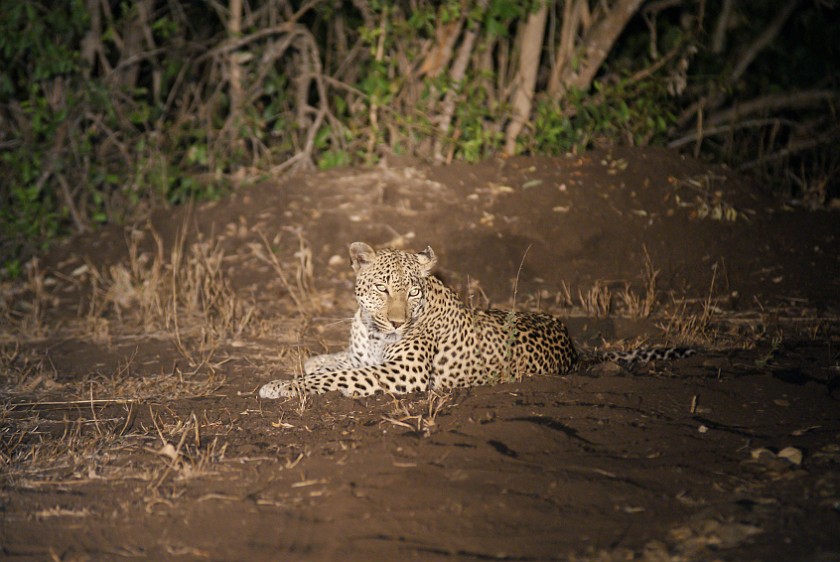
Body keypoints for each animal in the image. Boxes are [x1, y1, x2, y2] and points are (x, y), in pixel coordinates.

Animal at [260, 242, 692, 398]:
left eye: (412, 292)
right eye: (383, 288)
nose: (398, 323)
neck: (372, 328)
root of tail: (573, 346)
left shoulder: (403, 374)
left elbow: (335, 376)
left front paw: (280, 384)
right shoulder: (365, 357)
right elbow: (329, 363)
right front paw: (306, 364)